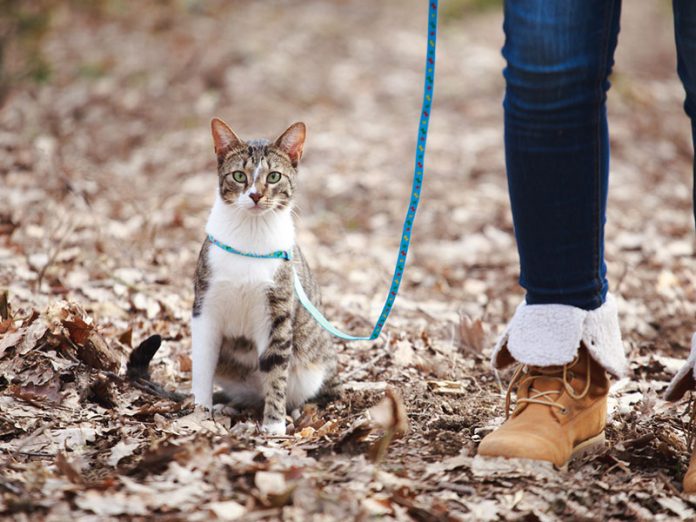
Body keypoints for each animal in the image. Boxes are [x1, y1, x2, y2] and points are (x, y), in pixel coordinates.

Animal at [192, 116, 336, 432]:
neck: (251, 234)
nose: (256, 195)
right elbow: (202, 363)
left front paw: (273, 425)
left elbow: (275, 371)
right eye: (238, 176)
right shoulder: (205, 307)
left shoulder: (276, 313)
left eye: (273, 177)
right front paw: (198, 413)